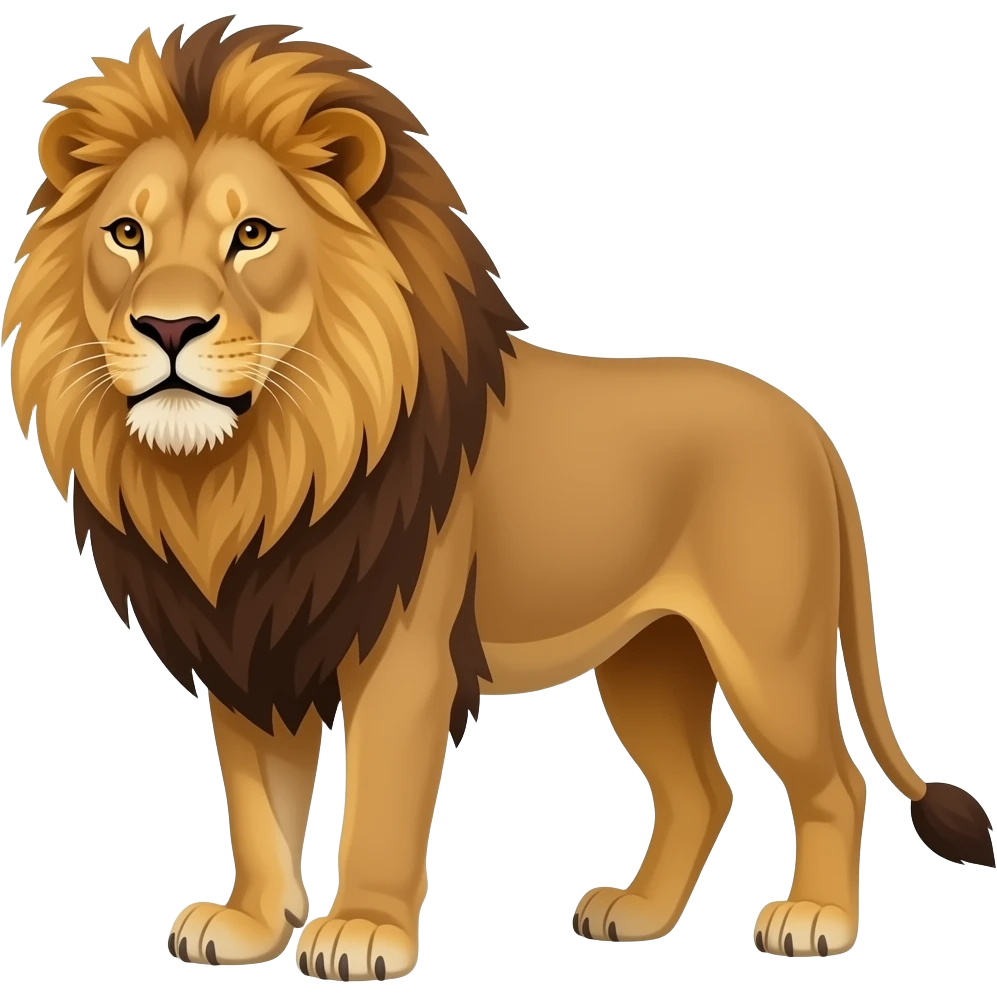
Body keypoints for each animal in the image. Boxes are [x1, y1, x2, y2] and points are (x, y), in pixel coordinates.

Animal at [3, 16, 993, 979]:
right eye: (126, 235)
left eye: (251, 234)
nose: (167, 325)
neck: (256, 471)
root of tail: (810, 429)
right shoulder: (252, 642)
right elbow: (257, 805)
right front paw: (248, 924)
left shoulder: (402, 653)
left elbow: (381, 804)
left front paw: (362, 931)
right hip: (649, 656)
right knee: (701, 790)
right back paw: (635, 914)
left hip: (768, 652)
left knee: (834, 780)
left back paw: (816, 919)